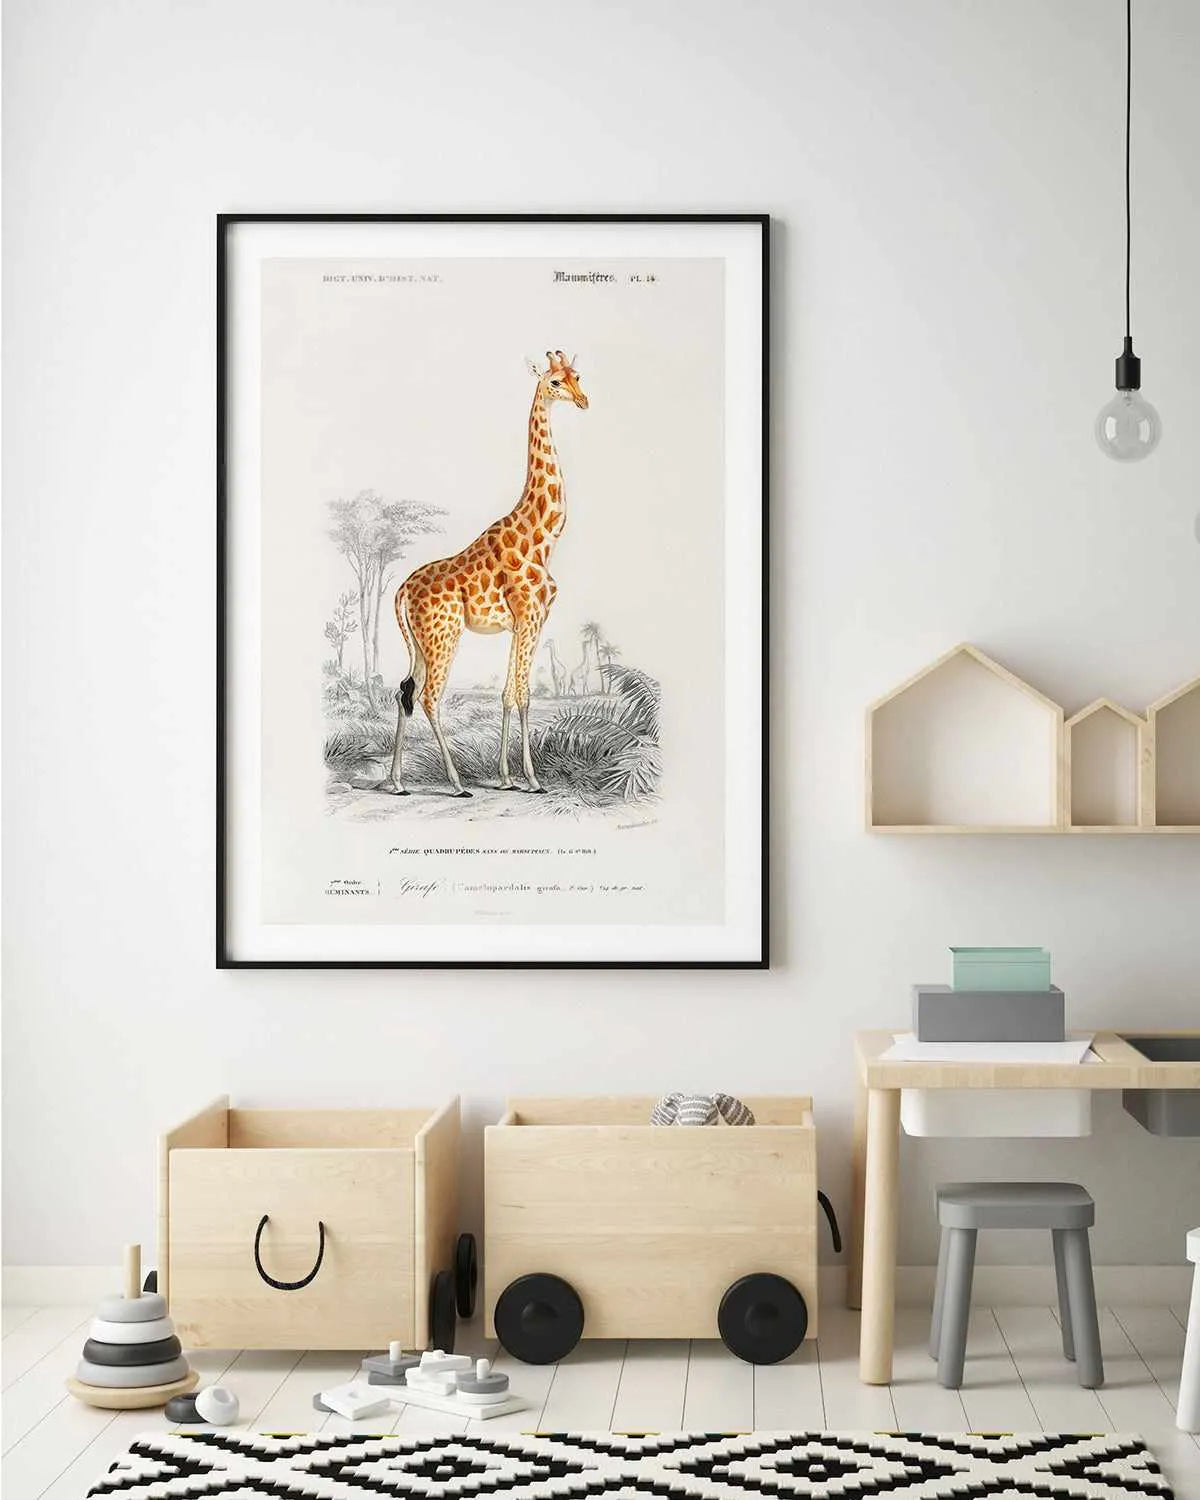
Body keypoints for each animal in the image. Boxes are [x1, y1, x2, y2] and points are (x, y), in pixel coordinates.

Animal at [381, 350, 589, 797]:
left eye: (577, 376)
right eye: (555, 382)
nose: (584, 401)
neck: (543, 536)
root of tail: (401, 592)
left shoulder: (523, 623)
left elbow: (508, 694)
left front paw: (508, 778)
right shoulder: (530, 617)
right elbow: (524, 694)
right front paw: (532, 780)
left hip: (421, 644)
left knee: (404, 691)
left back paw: (397, 782)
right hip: (443, 637)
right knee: (428, 697)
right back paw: (457, 783)